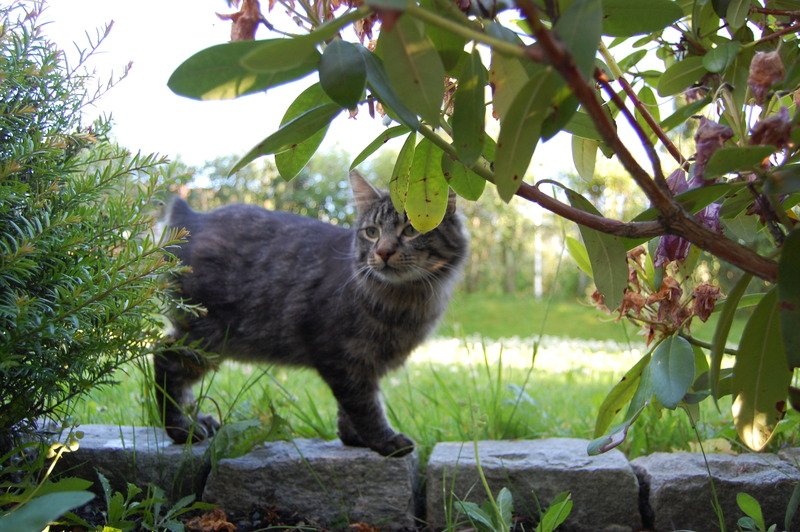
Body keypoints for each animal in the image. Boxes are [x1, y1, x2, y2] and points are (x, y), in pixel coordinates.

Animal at [156, 171, 468, 456]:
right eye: (372, 232)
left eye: (411, 230)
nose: (383, 252)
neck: (404, 300)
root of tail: (194, 217)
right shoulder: (341, 357)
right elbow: (364, 406)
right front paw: (383, 441)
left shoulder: (364, 363)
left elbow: (350, 407)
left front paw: (353, 438)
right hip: (207, 336)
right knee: (164, 359)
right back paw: (182, 428)